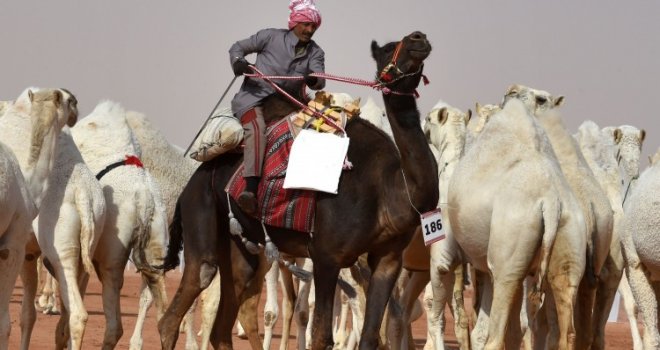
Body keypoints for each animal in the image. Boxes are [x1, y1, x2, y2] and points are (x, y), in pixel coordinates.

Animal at [157, 30, 438, 350]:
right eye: (389, 48)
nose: (418, 37)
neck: (388, 187)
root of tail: (190, 183)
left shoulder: (389, 259)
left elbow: (369, 336)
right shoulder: (327, 256)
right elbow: (321, 336)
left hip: (240, 246)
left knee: (224, 319)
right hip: (200, 209)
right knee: (183, 301)